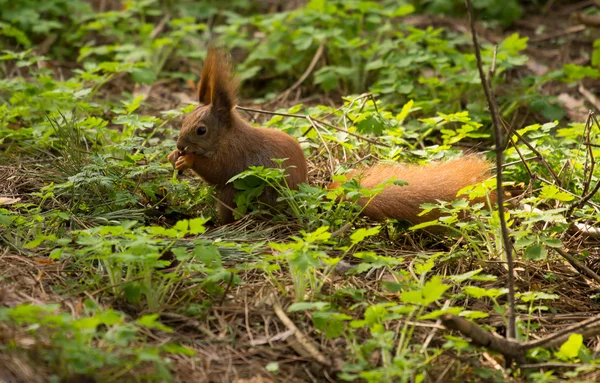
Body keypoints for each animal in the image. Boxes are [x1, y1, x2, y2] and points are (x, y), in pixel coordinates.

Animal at [169, 45, 492, 225]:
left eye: (201, 130)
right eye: (184, 120)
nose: (181, 144)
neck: (226, 136)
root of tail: (301, 200)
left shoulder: (233, 155)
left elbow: (217, 170)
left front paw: (188, 161)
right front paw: (174, 155)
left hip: (242, 194)